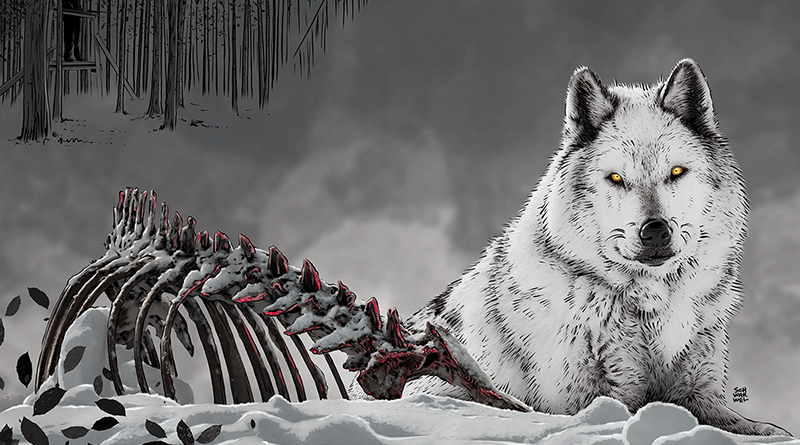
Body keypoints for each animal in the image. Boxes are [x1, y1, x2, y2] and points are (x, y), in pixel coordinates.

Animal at [399, 59, 789, 436]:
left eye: (676, 172)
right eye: (616, 178)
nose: (655, 232)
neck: (649, 311)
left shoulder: (699, 393)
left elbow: (752, 427)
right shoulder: (588, 401)